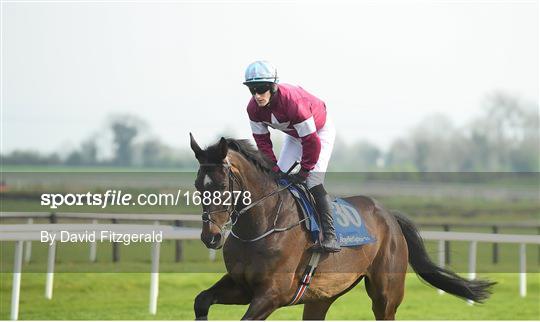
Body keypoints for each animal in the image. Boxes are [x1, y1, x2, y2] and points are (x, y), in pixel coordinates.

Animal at [190, 134, 494, 320]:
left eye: (221, 186)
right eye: (197, 186)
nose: (211, 237)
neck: (262, 226)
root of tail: (389, 216)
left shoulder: (273, 294)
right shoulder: (241, 286)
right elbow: (201, 300)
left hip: (386, 294)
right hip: (321, 296)